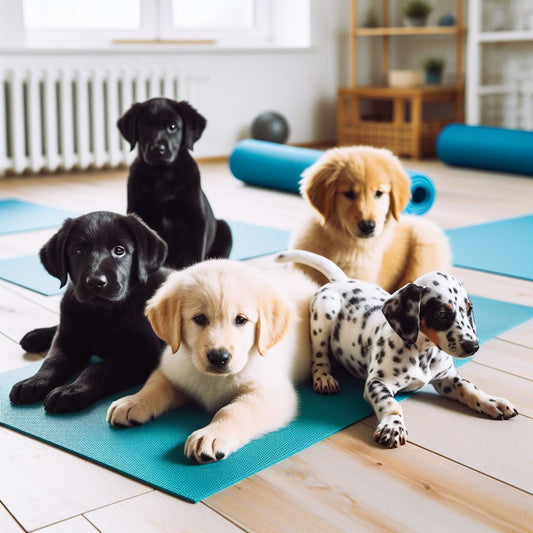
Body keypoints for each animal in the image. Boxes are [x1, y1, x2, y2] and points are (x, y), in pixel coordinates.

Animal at [11, 210, 169, 414]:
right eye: (79, 251)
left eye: (119, 250)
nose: (96, 282)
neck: (100, 313)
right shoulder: (67, 341)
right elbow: (52, 360)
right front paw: (34, 382)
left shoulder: (144, 353)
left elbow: (100, 369)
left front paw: (71, 390)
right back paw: (36, 335)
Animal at [106, 258, 318, 462]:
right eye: (199, 318)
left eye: (241, 320)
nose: (219, 357)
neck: (213, 378)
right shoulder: (173, 367)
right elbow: (156, 385)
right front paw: (134, 401)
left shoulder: (272, 392)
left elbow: (233, 410)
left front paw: (213, 434)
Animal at [118, 96, 231, 268]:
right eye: (145, 127)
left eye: (172, 127)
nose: (158, 149)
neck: (161, 175)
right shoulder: (139, 212)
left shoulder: (196, 220)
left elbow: (193, 257)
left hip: (225, 228)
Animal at [276, 251, 516, 446]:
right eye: (441, 313)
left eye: (469, 309)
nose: (473, 346)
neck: (423, 353)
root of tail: (340, 281)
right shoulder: (377, 383)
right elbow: (390, 403)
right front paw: (393, 425)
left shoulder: (446, 379)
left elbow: (468, 387)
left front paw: (491, 401)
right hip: (324, 314)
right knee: (320, 357)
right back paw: (324, 378)